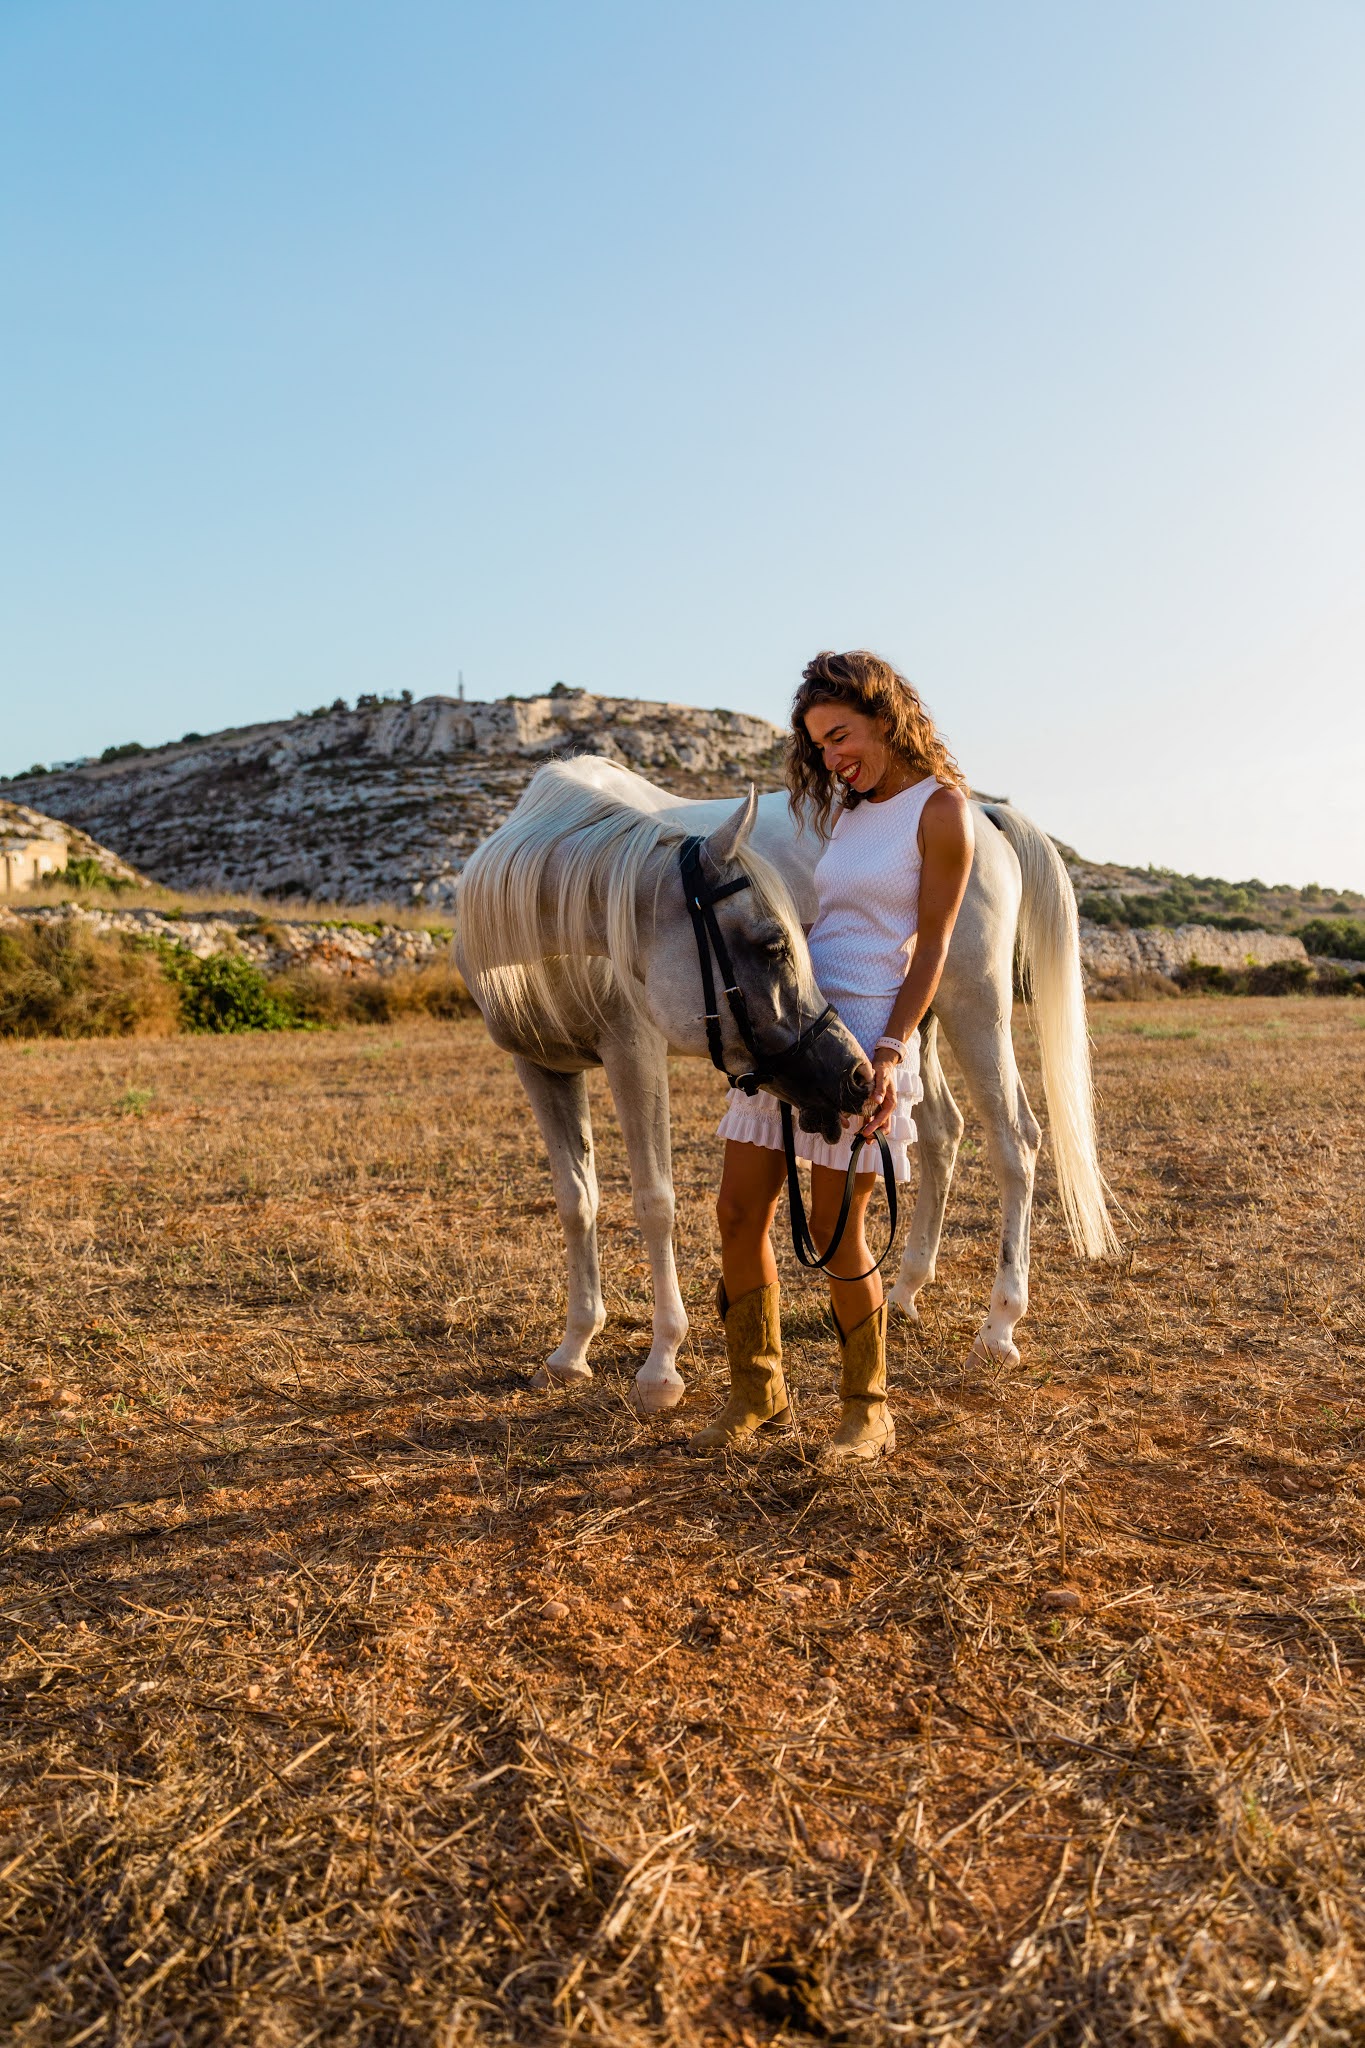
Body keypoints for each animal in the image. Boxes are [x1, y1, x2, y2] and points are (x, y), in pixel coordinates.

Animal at [456, 754, 1116, 1414]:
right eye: (774, 944)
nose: (852, 1071)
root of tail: (981, 812)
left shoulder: (634, 1053)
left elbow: (654, 1202)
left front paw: (661, 1364)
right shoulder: (542, 1068)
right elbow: (576, 1201)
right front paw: (571, 1350)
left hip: (975, 1006)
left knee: (1014, 1142)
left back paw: (999, 1326)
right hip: (919, 1027)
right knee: (944, 1135)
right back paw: (905, 1292)